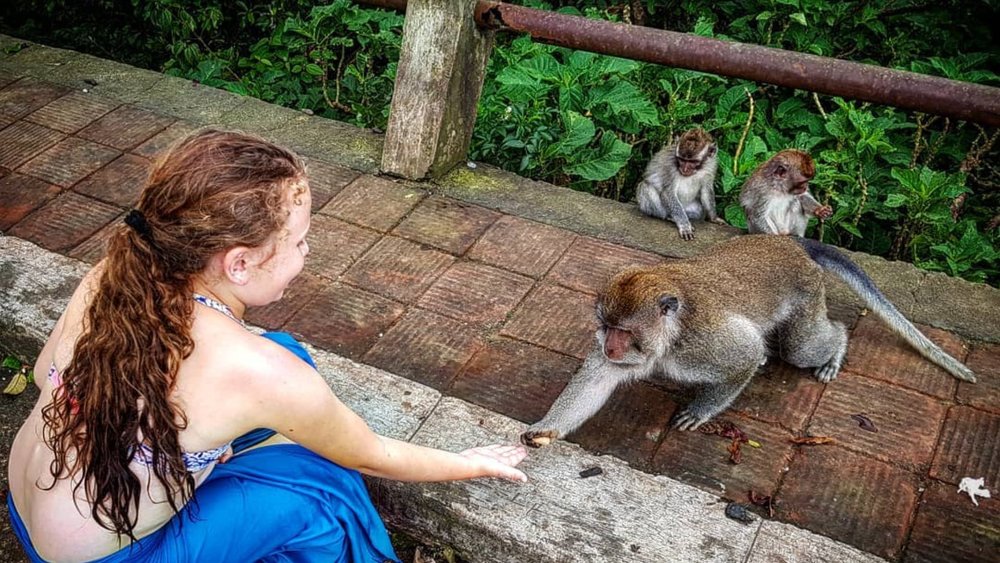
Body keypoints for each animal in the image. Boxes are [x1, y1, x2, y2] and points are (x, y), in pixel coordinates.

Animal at [520, 234, 975, 447]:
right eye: (606, 326)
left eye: (626, 332)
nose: (610, 348)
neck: (669, 336)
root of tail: (789, 242)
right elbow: (594, 384)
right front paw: (545, 430)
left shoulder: (701, 344)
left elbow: (745, 354)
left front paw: (701, 410)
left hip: (807, 293)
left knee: (801, 346)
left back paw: (835, 349)